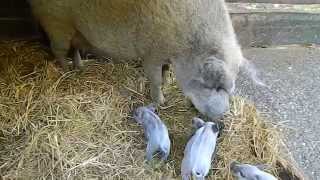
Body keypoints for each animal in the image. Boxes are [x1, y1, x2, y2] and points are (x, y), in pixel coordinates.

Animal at [29, 0, 255, 119]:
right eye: (212, 86)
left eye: (230, 88)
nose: (223, 114)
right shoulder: (151, 53)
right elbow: (154, 79)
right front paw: (160, 102)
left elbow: (165, 72)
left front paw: (167, 83)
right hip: (56, 23)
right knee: (58, 50)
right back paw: (67, 72)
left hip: (74, 30)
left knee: (74, 48)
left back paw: (80, 68)